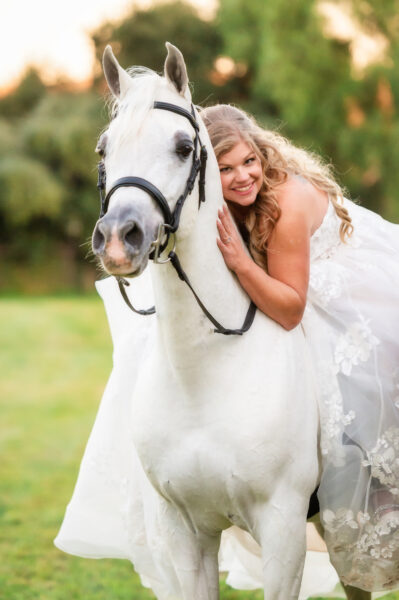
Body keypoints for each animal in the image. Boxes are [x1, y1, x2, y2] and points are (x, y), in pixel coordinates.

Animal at [89, 43, 370, 600]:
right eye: (104, 151)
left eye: (183, 147)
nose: (118, 238)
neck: (206, 375)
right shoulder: (186, 532)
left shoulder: (283, 531)